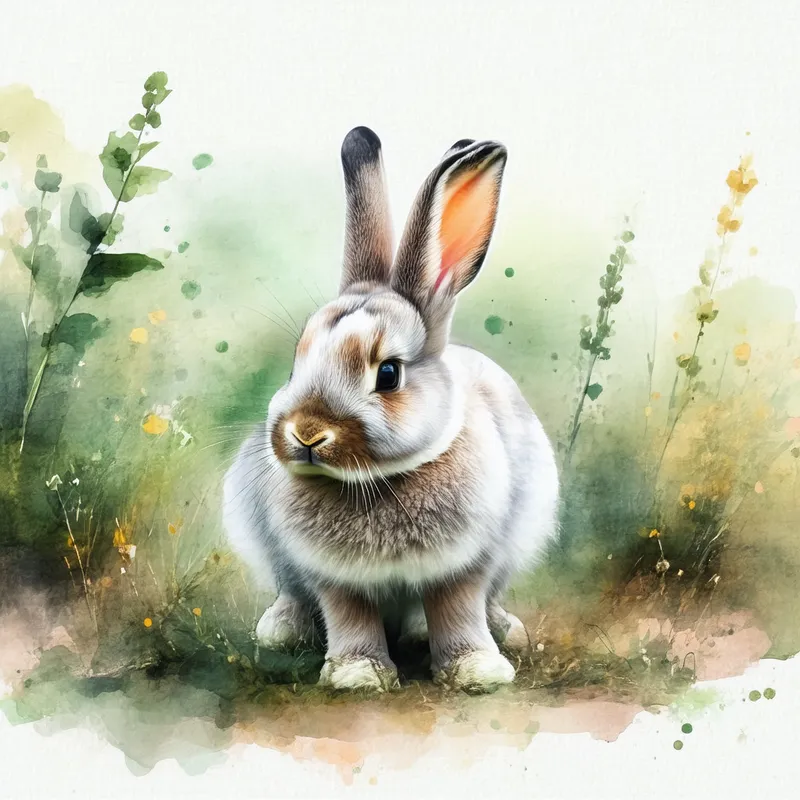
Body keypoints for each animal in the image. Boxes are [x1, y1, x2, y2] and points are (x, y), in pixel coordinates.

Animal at [223, 126, 559, 693]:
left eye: (388, 374)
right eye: (296, 364)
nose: (306, 432)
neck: (375, 480)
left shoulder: (466, 564)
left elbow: (459, 609)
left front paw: (479, 670)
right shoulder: (333, 576)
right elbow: (348, 615)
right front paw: (357, 675)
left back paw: (500, 631)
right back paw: (282, 631)